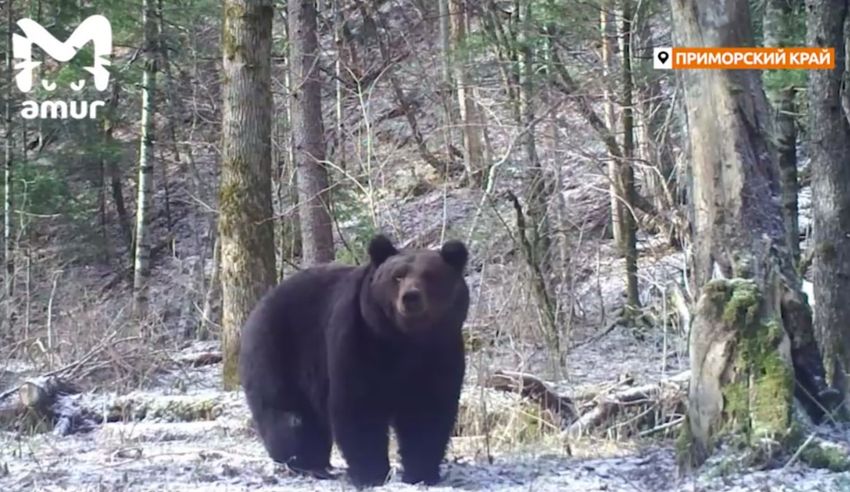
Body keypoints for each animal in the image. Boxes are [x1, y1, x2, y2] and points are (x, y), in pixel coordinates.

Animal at [237, 234, 470, 488]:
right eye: (397, 276)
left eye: (430, 275)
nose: (411, 297)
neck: (403, 340)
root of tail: (259, 305)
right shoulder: (359, 340)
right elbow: (358, 406)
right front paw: (371, 474)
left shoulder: (440, 352)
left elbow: (428, 410)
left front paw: (421, 473)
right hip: (277, 351)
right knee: (288, 414)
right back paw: (301, 461)